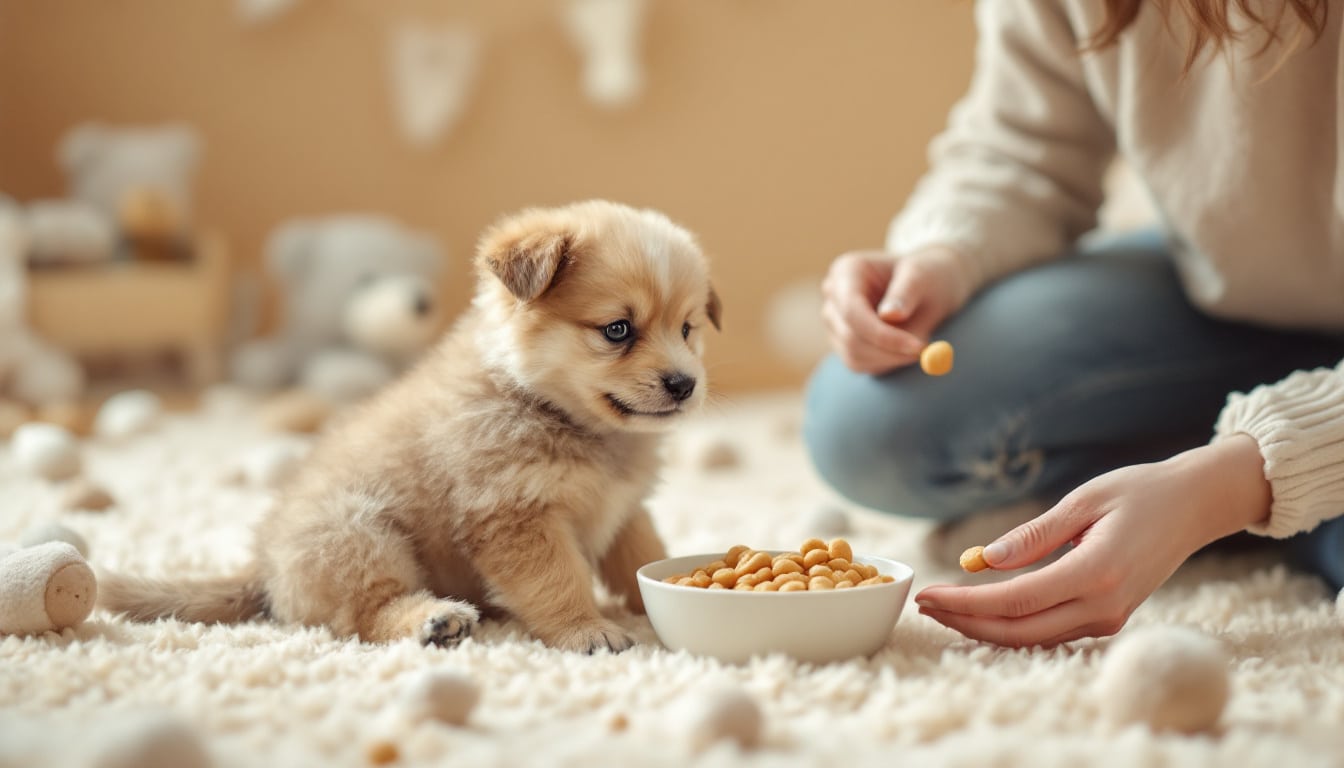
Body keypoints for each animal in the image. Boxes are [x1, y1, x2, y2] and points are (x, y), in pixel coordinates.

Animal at [102, 201, 725, 650]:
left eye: (687, 328)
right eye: (617, 329)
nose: (683, 383)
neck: (543, 404)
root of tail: (263, 568)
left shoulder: (622, 512)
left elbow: (639, 556)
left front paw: (650, 601)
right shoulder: (516, 517)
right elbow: (559, 581)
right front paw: (586, 630)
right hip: (360, 534)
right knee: (365, 616)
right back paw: (434, 621)